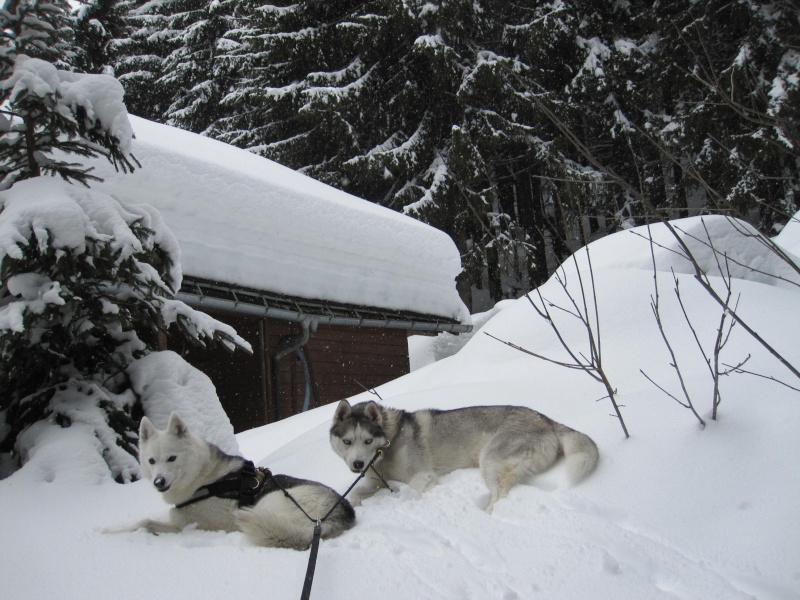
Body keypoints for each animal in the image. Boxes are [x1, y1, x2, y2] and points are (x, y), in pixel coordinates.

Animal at [115, 412, 356, 548]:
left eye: (172, 458)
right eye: (151, 461)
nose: (159, 482)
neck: (203, 479)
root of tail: (341, 515)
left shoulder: (192, 527)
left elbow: (144, 523)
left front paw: (112, 532)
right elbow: (146, 522)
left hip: (266, 504)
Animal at [328, 398, 596, 510]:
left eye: (368, 440)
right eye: (347, 441)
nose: (358, 464)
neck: (390, 442)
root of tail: (546, 419)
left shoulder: (422, 477)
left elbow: (415, 493)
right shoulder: (379, 483)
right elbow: (356, 495)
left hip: (490, 460)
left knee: (500, 493)